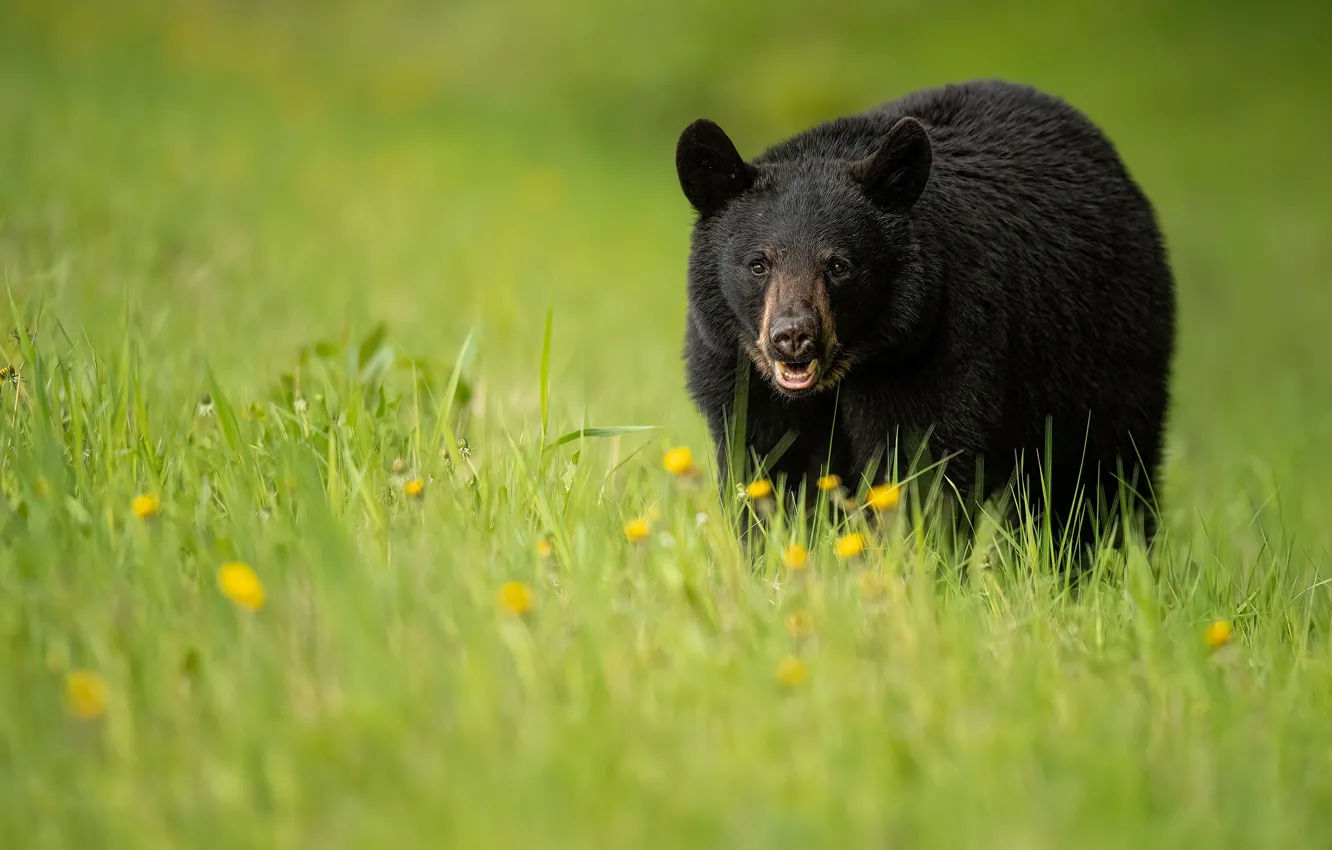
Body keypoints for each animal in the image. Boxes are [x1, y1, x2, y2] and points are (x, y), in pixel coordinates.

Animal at [674, 79, 1176, 553]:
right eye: (758, 264)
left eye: (839, 265)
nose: (794, 336)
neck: (847, 372)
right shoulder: (740, 374)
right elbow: (767, 472)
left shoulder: (936, 347)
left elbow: (919, 469)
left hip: (1104, 353)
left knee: (1103, 479)